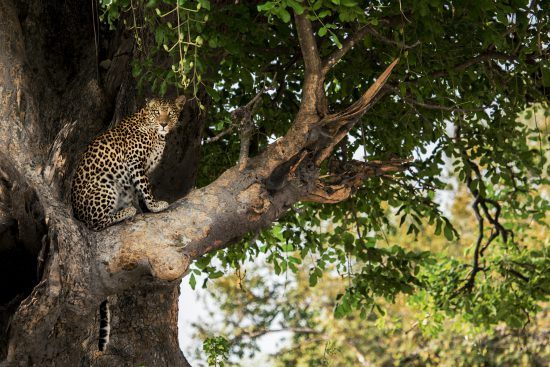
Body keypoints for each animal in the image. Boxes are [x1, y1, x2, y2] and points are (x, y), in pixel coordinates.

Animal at [70, 96, 188, 231]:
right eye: (156, 112)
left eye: (171, 113)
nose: (163, 124)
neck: (158, 135)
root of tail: (77, 213)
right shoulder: (135, 161)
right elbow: (145, 187)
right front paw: (154, 206)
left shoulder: (143, 168)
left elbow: (137, 190)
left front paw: (142, 209)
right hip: (106, 183)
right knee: (95, 224)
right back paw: (128, 211)